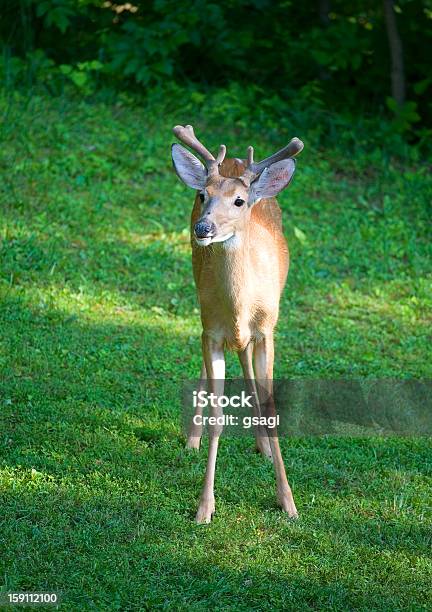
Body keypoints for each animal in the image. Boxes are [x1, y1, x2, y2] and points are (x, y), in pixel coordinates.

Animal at [170, 123, 302, 520]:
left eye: (240, 201)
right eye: (203, 195)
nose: (203, 228)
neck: (240, 306)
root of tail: (237, 160)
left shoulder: (267, 328)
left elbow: (271, 406)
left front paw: (288, 502)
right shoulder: (211, 330)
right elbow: (218, 414)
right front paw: (204, 507)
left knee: (247, 365)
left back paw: (263, 448)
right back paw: (192, 440)